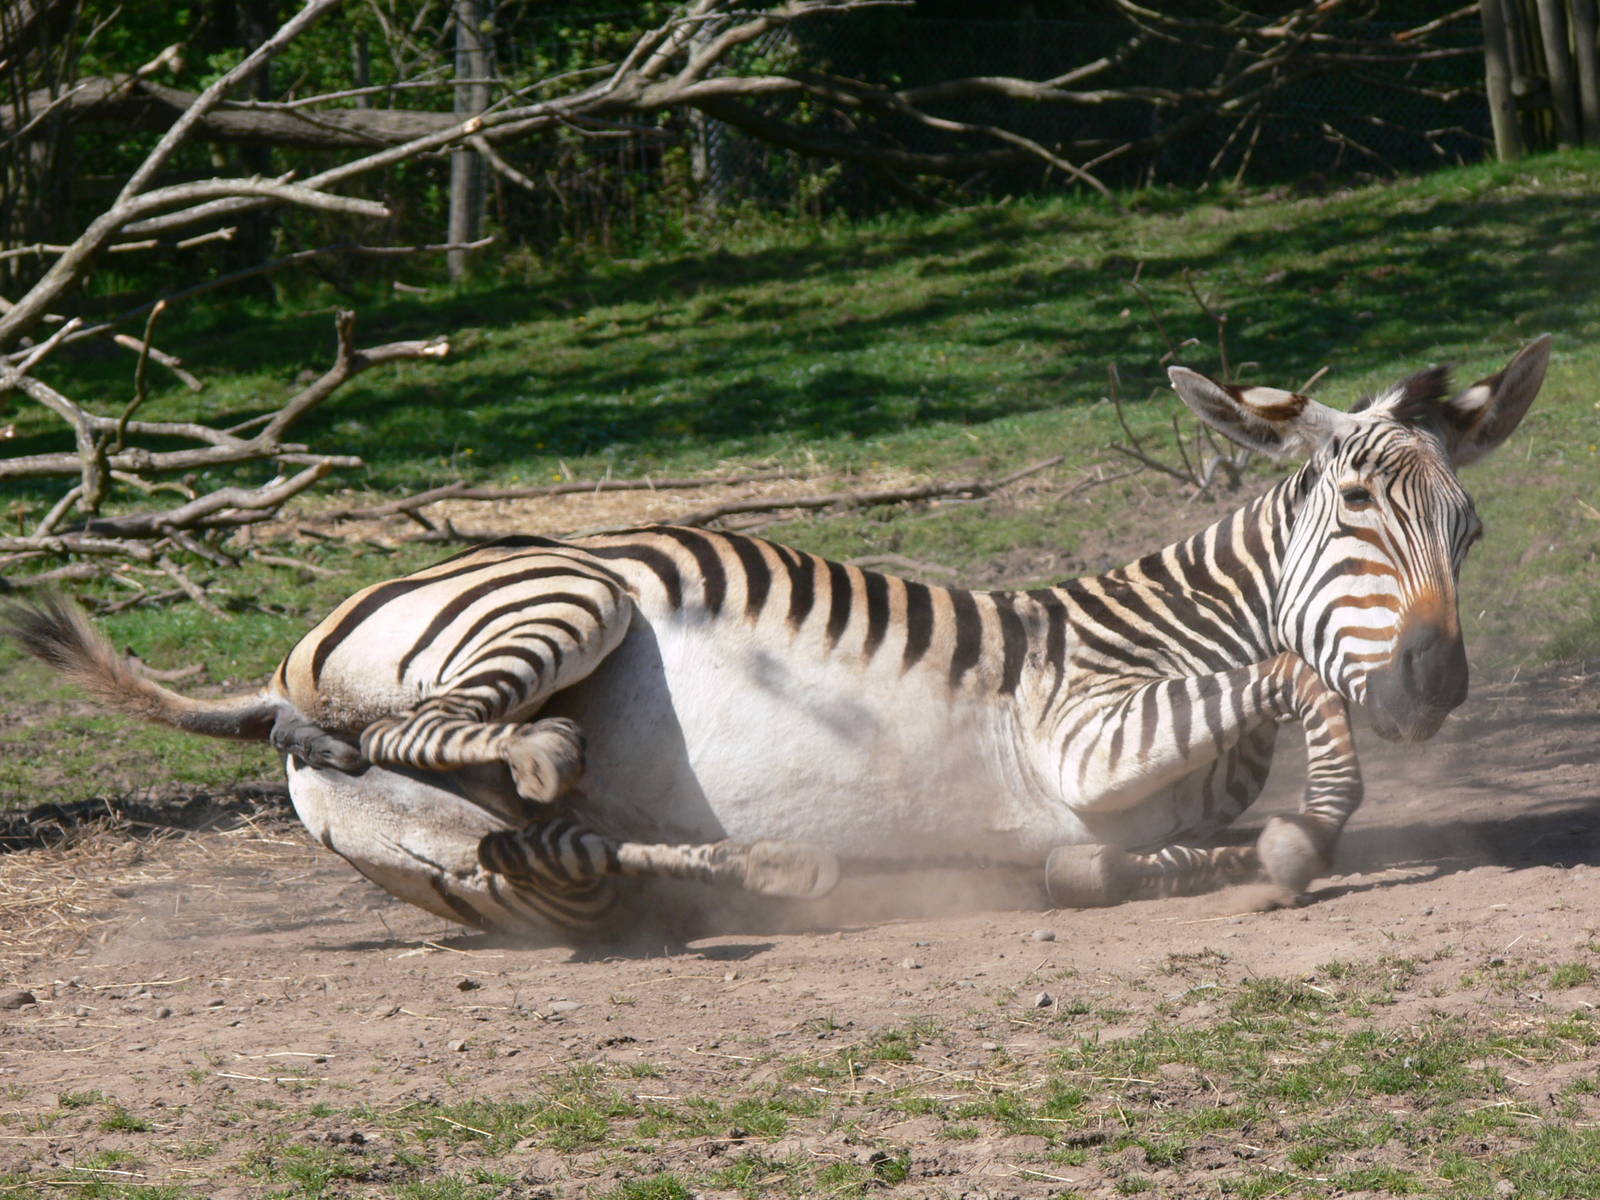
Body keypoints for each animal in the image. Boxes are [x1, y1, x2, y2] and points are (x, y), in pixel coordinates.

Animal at [2, 336, 1550, 939]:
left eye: (1469, 529)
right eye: (1353, 506)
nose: (1435, 681)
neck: (1161, 624)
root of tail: (299, 645)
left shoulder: (1122, 804)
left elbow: (1136, 853)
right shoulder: (1076, 732)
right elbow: (1286, 678)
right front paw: (1308, 836)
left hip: (463, 856)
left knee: (541, 846)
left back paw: (766, 863)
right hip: (563, 595)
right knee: (429, 727)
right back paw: (549, 748)